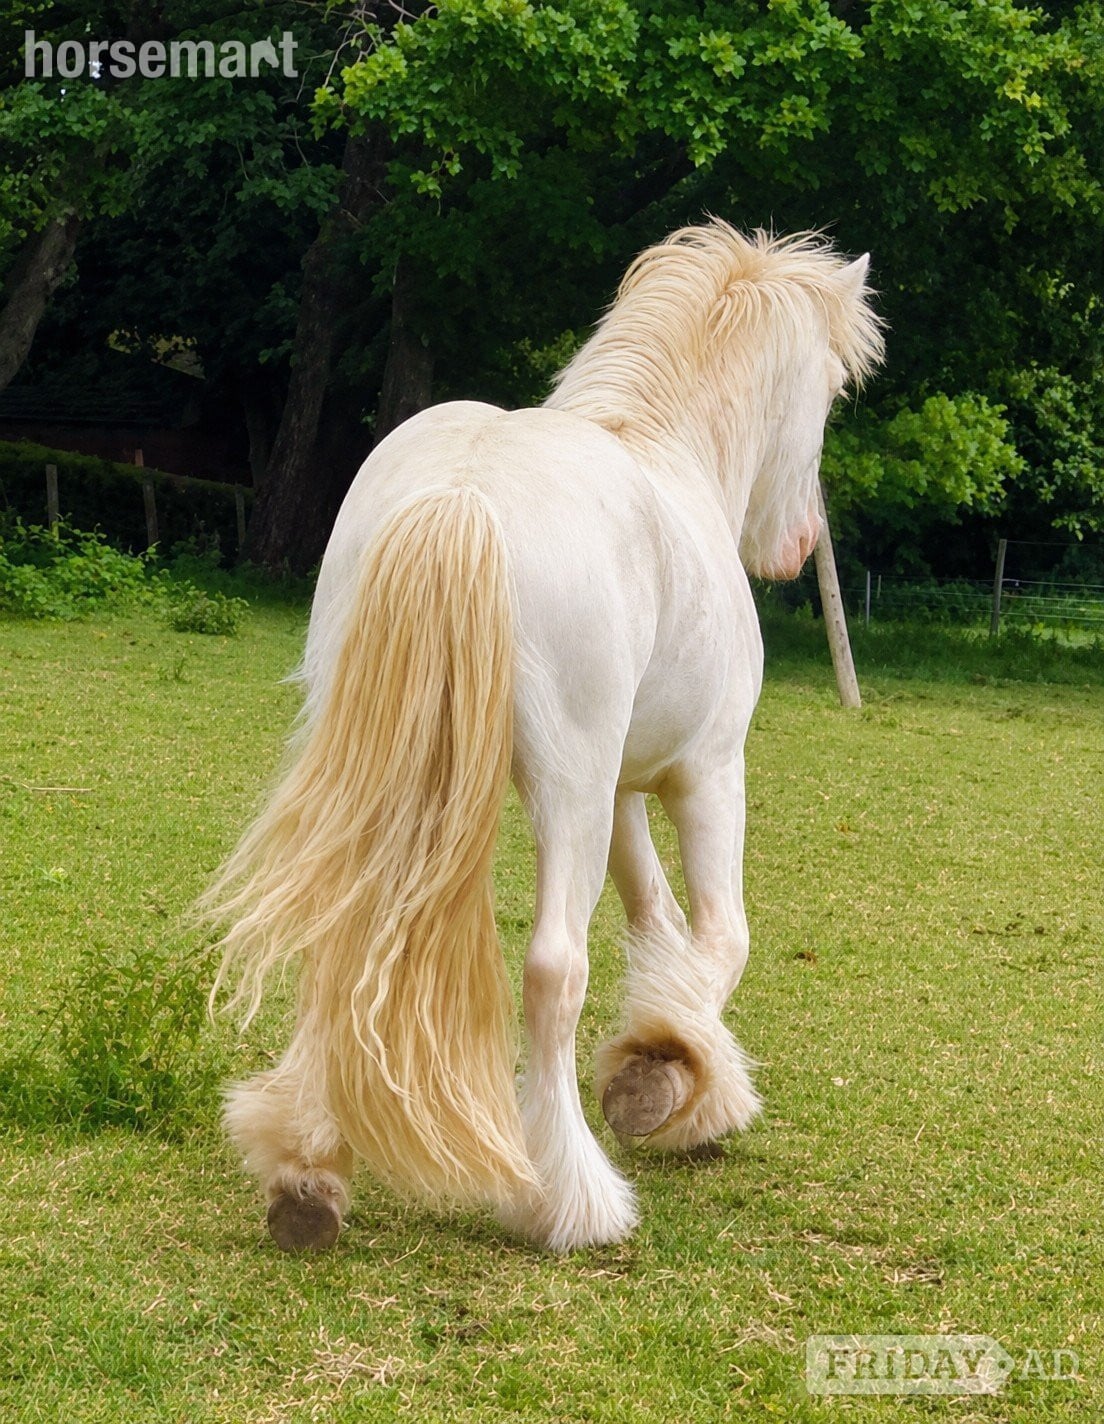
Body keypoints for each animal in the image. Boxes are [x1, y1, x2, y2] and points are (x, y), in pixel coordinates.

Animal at [204, 221, 883, 1254]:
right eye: (832, 390)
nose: (802, 540)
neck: (665, 447)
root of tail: (465, 493)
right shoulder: (702, 774)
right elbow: (719, 937)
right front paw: (672, 1081)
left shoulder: (624, 788)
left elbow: (658, 918)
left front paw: (663, 1063)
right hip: (567, 790)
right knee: (554, 969)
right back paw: (569, 1200)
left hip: (392, 778)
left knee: (341, 943)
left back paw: (307, 1175)